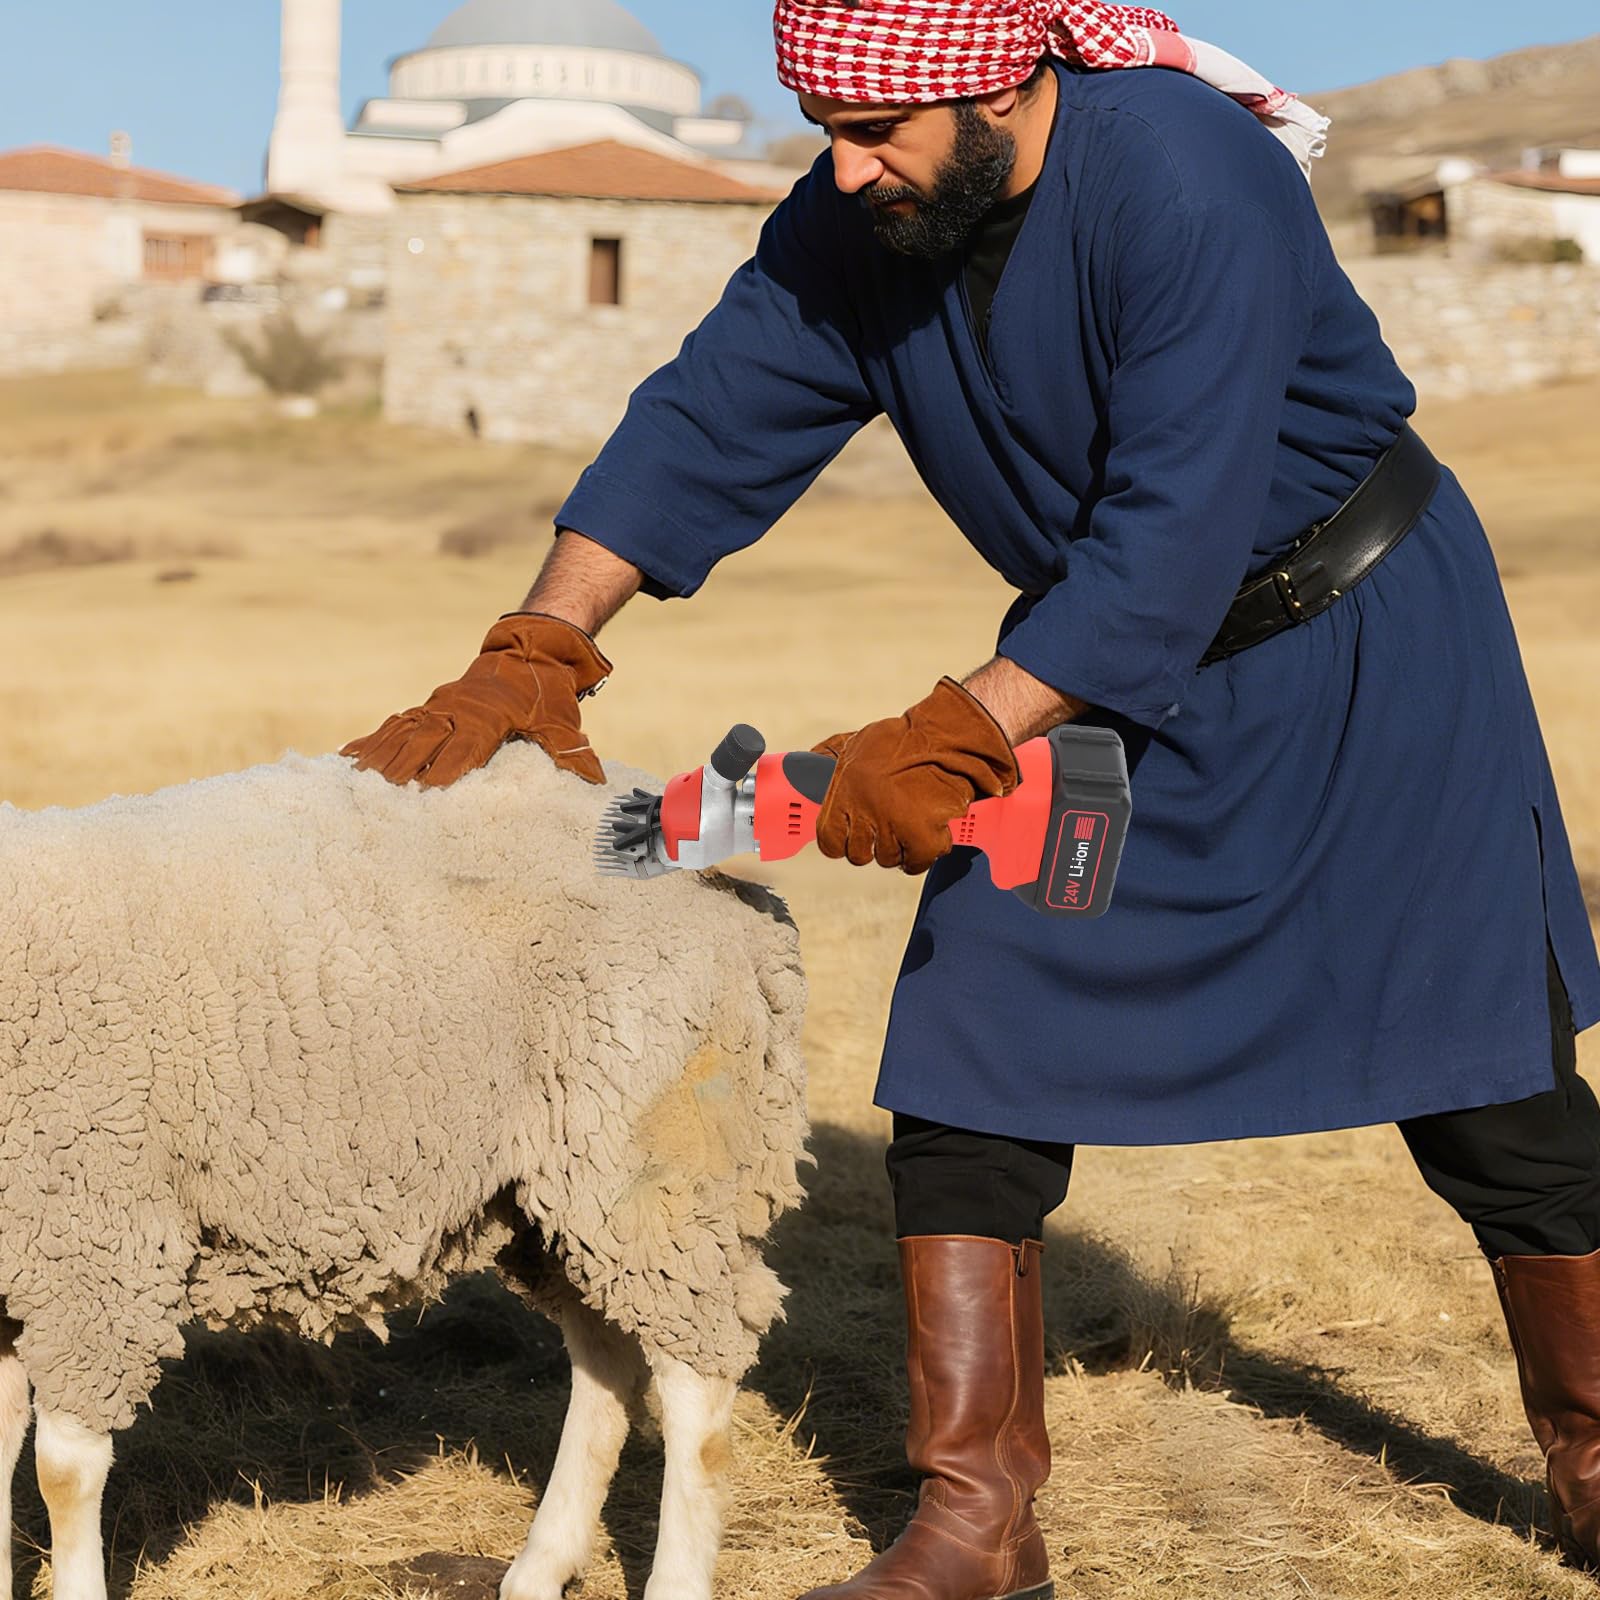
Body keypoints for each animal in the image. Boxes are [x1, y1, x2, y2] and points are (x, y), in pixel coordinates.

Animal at [0, 741, 810, 1600]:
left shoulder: (93, 1248)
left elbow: (62, 1472)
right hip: (555, 1193)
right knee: (606, 1362)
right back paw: (540, 1565)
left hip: (656, 1164)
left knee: (698, 1388)